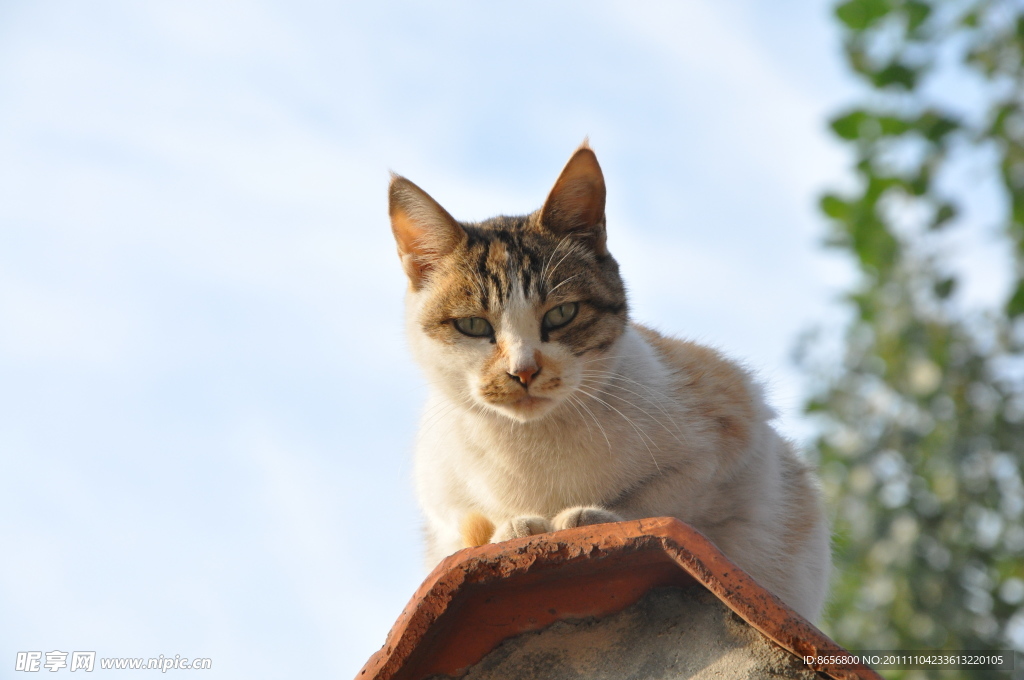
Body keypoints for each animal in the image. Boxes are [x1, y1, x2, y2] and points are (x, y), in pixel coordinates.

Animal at [387, 142, 827, 622]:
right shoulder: (441, 505)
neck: (533, 448)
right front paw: (514, 528)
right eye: (472, 325)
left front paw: (592, 517)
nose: (524, 371)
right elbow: (469, 529)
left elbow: (664, 501)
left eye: (562, 314)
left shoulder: (734, 424)